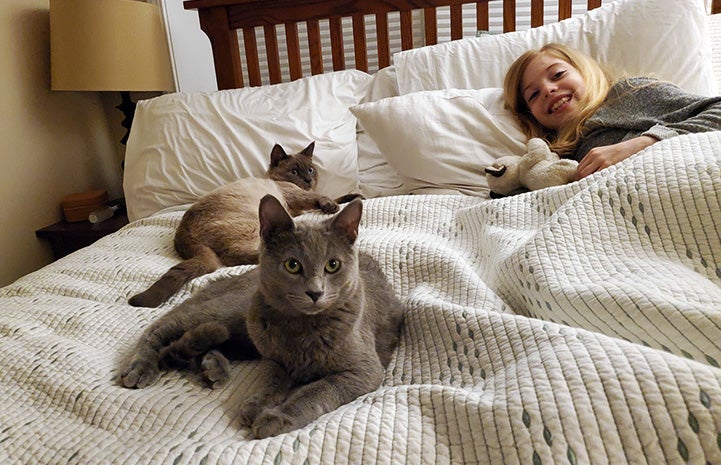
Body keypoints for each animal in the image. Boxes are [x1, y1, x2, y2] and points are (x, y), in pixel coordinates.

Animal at [121, 195, 408, 438]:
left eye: (333, 265)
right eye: (292, 265)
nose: (315, 292)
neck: (301, 330)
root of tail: (225, 278)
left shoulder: (362, 370)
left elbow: (316, 391)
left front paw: (275, 416)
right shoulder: (274, 357)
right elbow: (272, 380)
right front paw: (259, 406)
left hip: (243, 336)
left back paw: (212, 367)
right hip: (231, 313)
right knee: (160, 327)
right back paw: (141, 368)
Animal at [129, 141, 344, 308]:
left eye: (310, 170)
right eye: (294, 172)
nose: (308, 179)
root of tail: (182, 234)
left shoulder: (297, 208)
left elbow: (335, 196)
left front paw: (345, 198)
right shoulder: (296, 196)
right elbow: (322, 197)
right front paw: (333, 206)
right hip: (255, 225)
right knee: (233, 256)